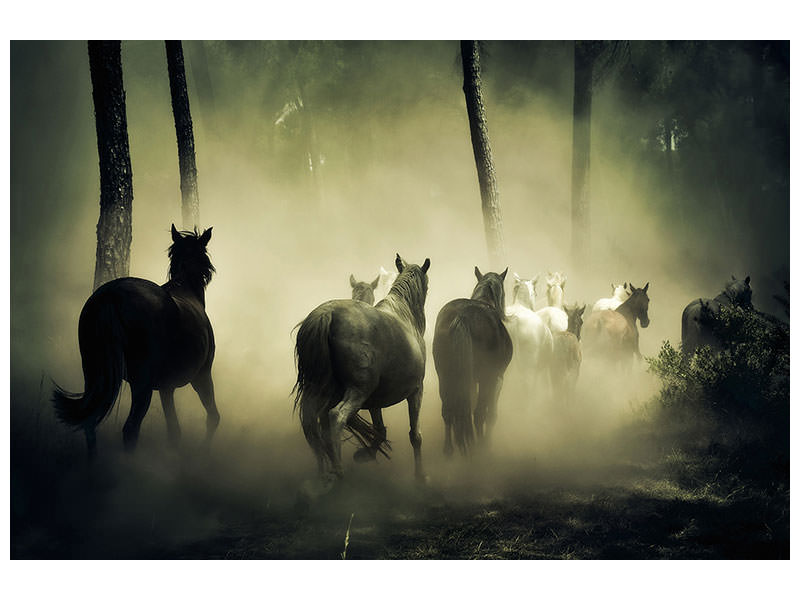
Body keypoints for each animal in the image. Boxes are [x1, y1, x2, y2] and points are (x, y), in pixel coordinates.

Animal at [52, 225, 219, 459]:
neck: (185, 287)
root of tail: (111, 294)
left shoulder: (167, 388)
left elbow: (174, 431)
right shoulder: (201, 376)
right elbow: (212, 418)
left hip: (94, 375)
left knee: (90, 423)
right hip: (143, 385)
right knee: (130, 429)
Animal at [293, 254, 430, 482]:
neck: (404, 316)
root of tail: (327, 314)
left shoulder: (375, 399)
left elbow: (379, 429)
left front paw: (365, 454)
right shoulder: (416, 391)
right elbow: (415, 435)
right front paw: (421, 477)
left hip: (323, 391)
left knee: (312, 424)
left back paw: (323, 473)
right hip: (358, 391)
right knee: (335, 417)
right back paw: (337, 471)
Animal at [433, 267, 512, 455]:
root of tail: (463, 316)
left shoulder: (469, 381)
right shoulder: (496, 379)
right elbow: (491, 414)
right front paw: (487, 442)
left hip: (445, 376)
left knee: (448, 411)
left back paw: (449, 449)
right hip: (485, 378)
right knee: (478, 414)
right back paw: (480, 449)